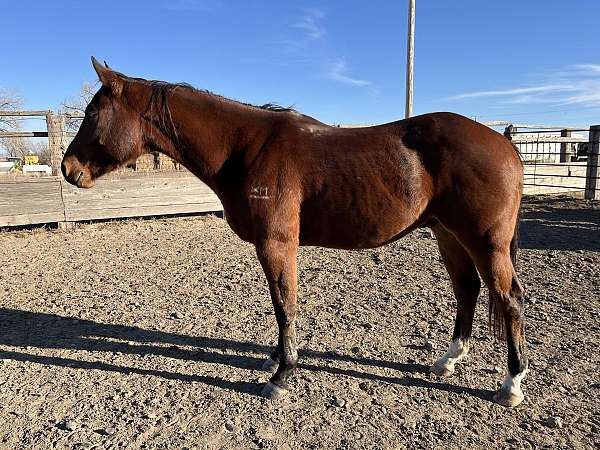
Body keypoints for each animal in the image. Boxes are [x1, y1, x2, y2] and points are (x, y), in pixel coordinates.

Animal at [63, 57, 528, 408]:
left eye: (93, 113)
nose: (69, 169)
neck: (246, 148)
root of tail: (504, 144)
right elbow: (280, 305)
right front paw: (273, 361)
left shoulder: (276, 244)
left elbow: (284, 305)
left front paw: (282, 376)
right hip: (448, 234)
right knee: (467, 289)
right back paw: (448, 361)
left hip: (486, 242)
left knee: (509, 300)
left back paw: (511, 385)